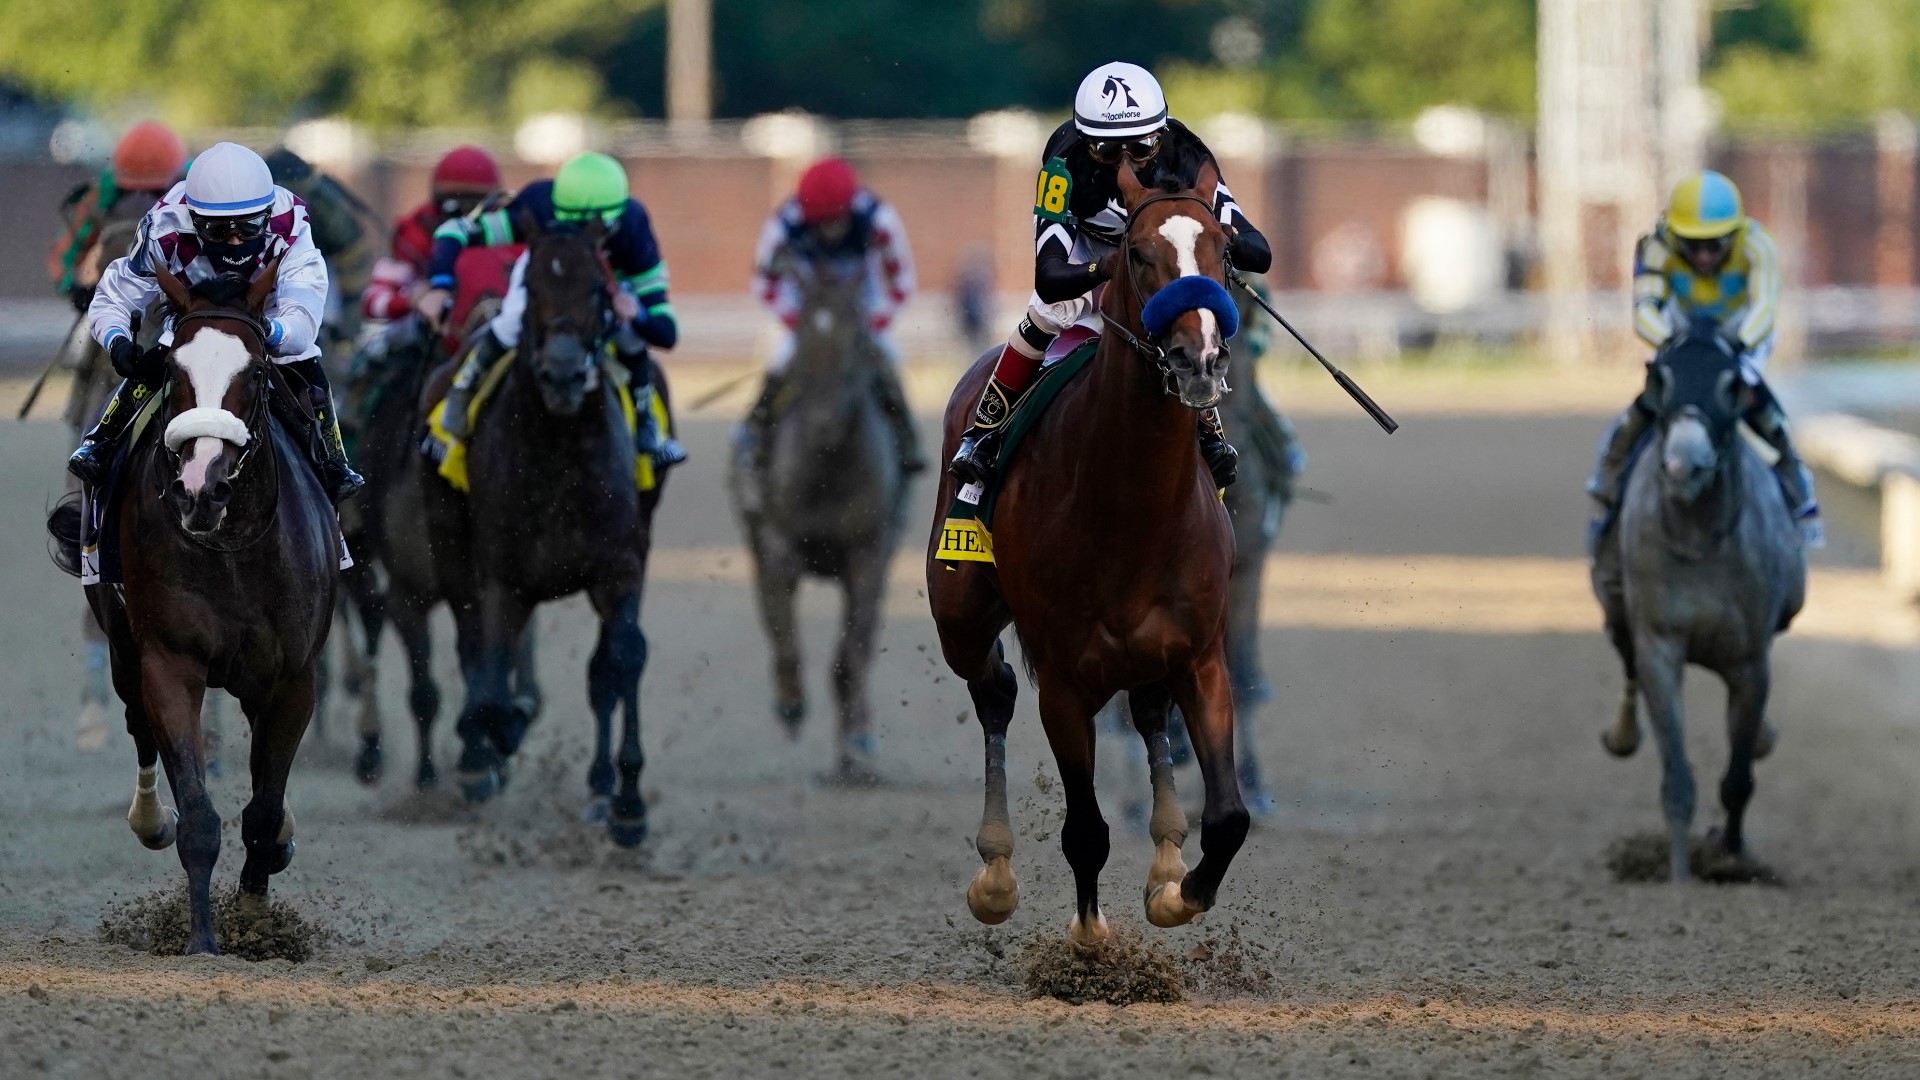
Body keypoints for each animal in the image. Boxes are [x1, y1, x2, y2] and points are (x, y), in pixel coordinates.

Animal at [47, 261, 341, 949]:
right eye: (169, 369)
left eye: (256, 372)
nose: (201, 488)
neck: (231, 546)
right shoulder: (170, 662)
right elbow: (200, 813)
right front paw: (204, 940)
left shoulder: (292, 677)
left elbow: (263, 809)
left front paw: (255, 918)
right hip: (123, 648)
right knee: (139, 728)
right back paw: (149, 817)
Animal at [432, 222, 672, 841]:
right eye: (533, 288)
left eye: (597, 289)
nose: (563, 372)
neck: (560, 456)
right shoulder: (502, 579)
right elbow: (492, 681)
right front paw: (486, 752)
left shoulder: (620, 569)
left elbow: (621, 662)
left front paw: (627, 802)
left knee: (601, 672)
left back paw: (598, 789)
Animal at [733, 263, 913, 780]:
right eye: (805, 336)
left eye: (857, 337)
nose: (823, 422)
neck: (827, 465)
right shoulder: (777, 546)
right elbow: (785, 636)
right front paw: (792, 703)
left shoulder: (869, 552)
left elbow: (853, 652)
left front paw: (855, 747)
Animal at [925, 159, 1244, 941]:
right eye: (1138, 253)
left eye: (1222, 249)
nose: (1199, 360)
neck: (1132, 511)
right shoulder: (1066, 682)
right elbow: (1087, 831)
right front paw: (1090, 939)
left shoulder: (1202, 655)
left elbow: (1228, 817)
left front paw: (1177, 893)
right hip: (959, 614)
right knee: (994, 689)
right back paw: (995, 871)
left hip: (1153, 657)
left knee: (1150, 711)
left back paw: (1165, 855)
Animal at [1589, 317, 1797, 876]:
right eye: (1659, 378)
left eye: (1732, 384)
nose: (1685, 465)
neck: (1699, 538)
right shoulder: (1660, 645)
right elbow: (1678, 782)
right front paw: (1680, 877)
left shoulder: (1750, 662)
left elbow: (1738, 779)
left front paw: (1732, 857)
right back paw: (1622, 734)